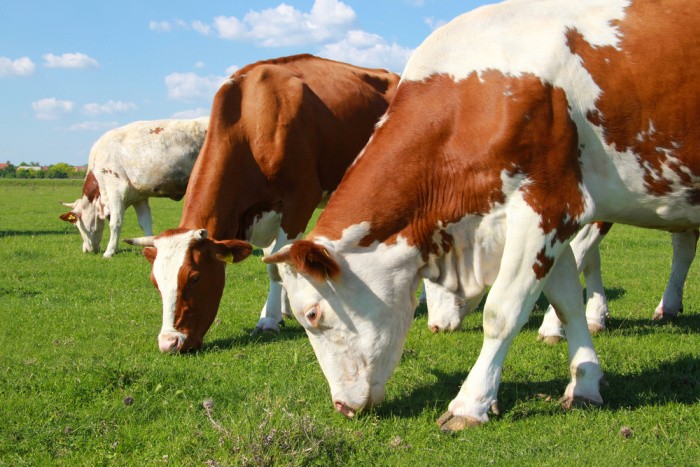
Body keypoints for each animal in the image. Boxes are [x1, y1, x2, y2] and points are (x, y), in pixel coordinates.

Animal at [60, 116, 209, 256]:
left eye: (77, 225)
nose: (86, 250)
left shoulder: (116, 191)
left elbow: (115, 223)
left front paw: (109, 251)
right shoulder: (139, 197)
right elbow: (145, 223)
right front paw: (150, 247)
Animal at [126, 54, 400, 352]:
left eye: (195, 277)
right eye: (155, 282)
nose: (169, 343)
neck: (249, 122)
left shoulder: (300, 200)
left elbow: (276, 267)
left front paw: (268, 319)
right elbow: (275, 257)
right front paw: (282, 311)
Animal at [264, 0, 700, 432]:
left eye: (313, 313)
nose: (342, 407)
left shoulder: (547, 205)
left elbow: (503, 311)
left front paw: (471, 403)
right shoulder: (553, 220)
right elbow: (565, 301)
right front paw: (585, 383)